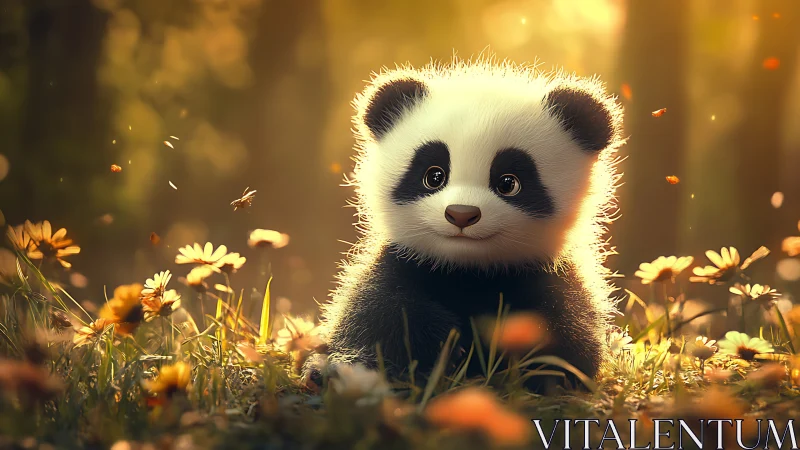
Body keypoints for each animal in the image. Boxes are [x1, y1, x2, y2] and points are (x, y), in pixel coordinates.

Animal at [309, 57, 624, 392]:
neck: (467, 270)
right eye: (434, 176)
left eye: (508, 183)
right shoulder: (399, 265)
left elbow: (568, 337)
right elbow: (377, 318)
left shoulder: (548, 274)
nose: (461, 214)